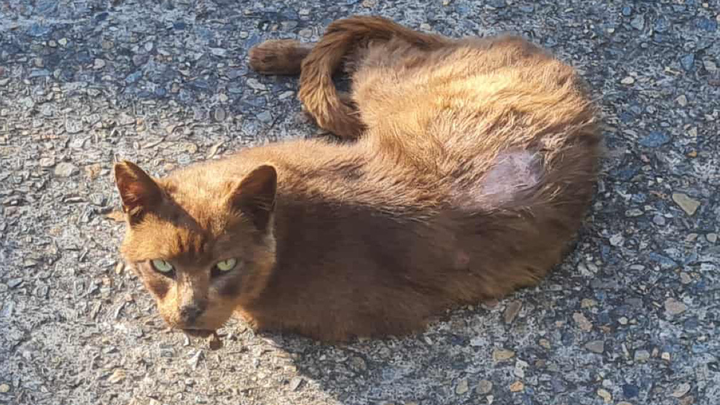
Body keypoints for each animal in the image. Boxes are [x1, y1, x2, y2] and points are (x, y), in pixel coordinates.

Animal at [114, 16, 601, 342]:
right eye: (162, 266)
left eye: (226, 266)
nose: (190, 311)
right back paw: (273, 54)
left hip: (385, 86)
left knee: (374, 44)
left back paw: (274, 54)